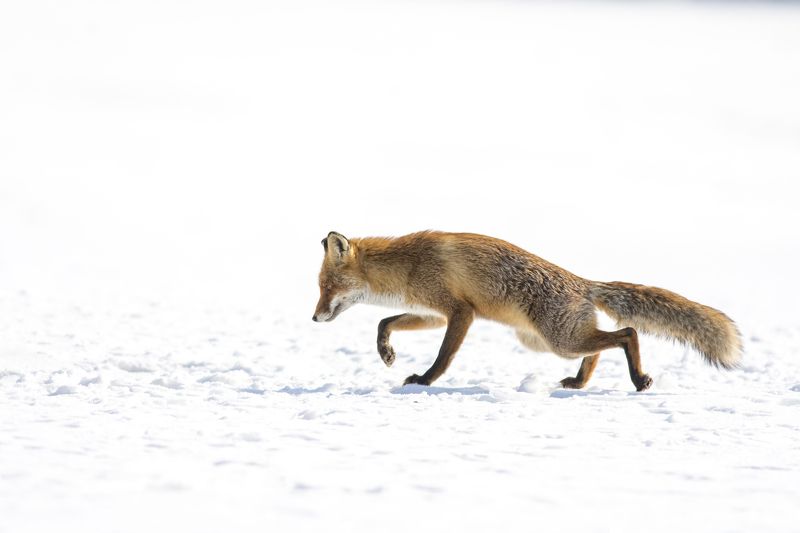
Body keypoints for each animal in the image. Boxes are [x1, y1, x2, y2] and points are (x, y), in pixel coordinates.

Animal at [312, 230, 741, 391]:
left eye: (326, 288)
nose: (314, 318)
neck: (409, 265)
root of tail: (585, 283)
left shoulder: (460, 312)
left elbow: (443, 357)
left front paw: (425, 380)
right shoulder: (434, 313)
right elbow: (384, 321)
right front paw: (386, 352)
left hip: (559, 340)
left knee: (627, 334)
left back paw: (638, 379)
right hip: (546, 342)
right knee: (602, 347)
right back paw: (579, 383)